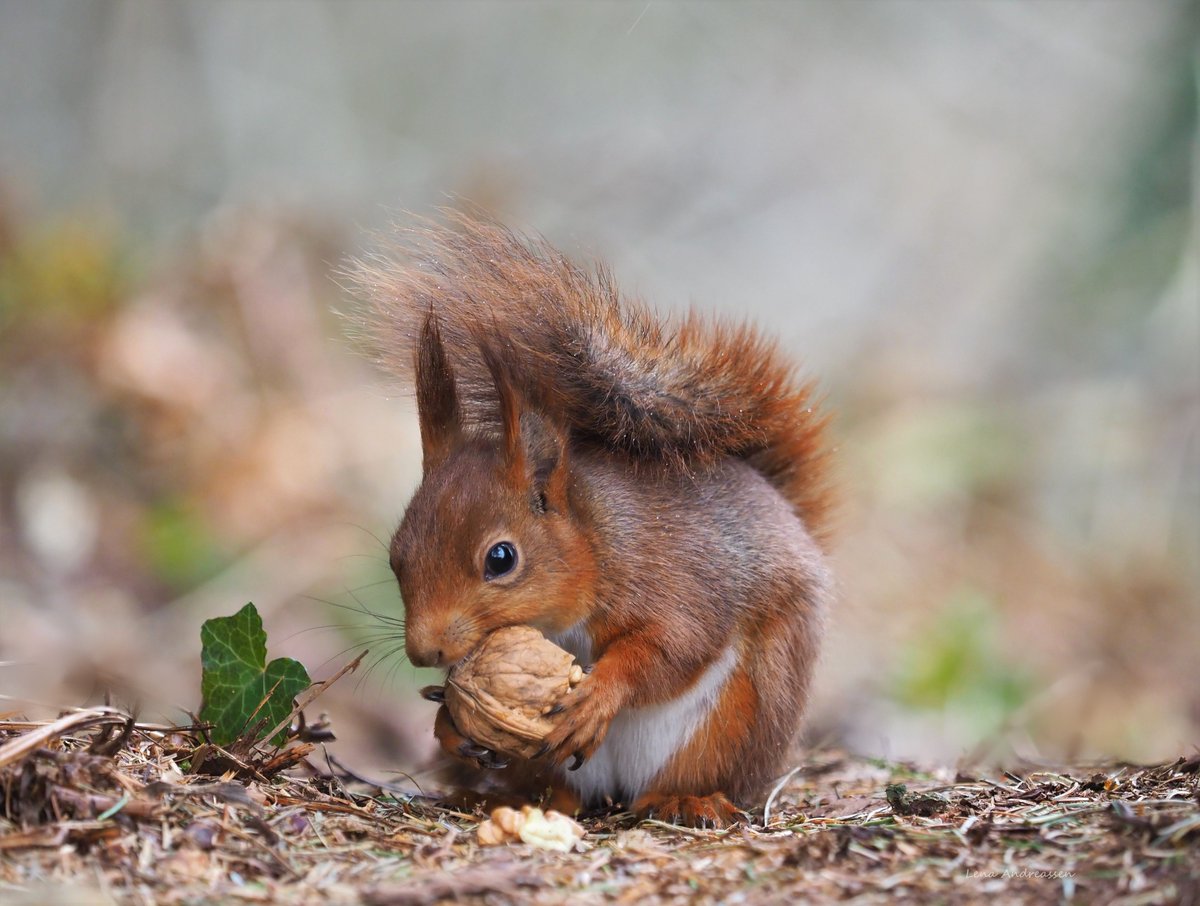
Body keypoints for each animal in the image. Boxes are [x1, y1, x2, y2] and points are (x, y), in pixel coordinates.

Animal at [350, 213, 833, 828]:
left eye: (501, 558)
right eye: (396, 556)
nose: (424, 653)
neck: (594, 542)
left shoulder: (672, 576)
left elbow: (675, 646)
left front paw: (600, 695)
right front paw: (449, 720)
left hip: (735, 720)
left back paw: (686, 799)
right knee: (559, 791)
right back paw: (506, 795)